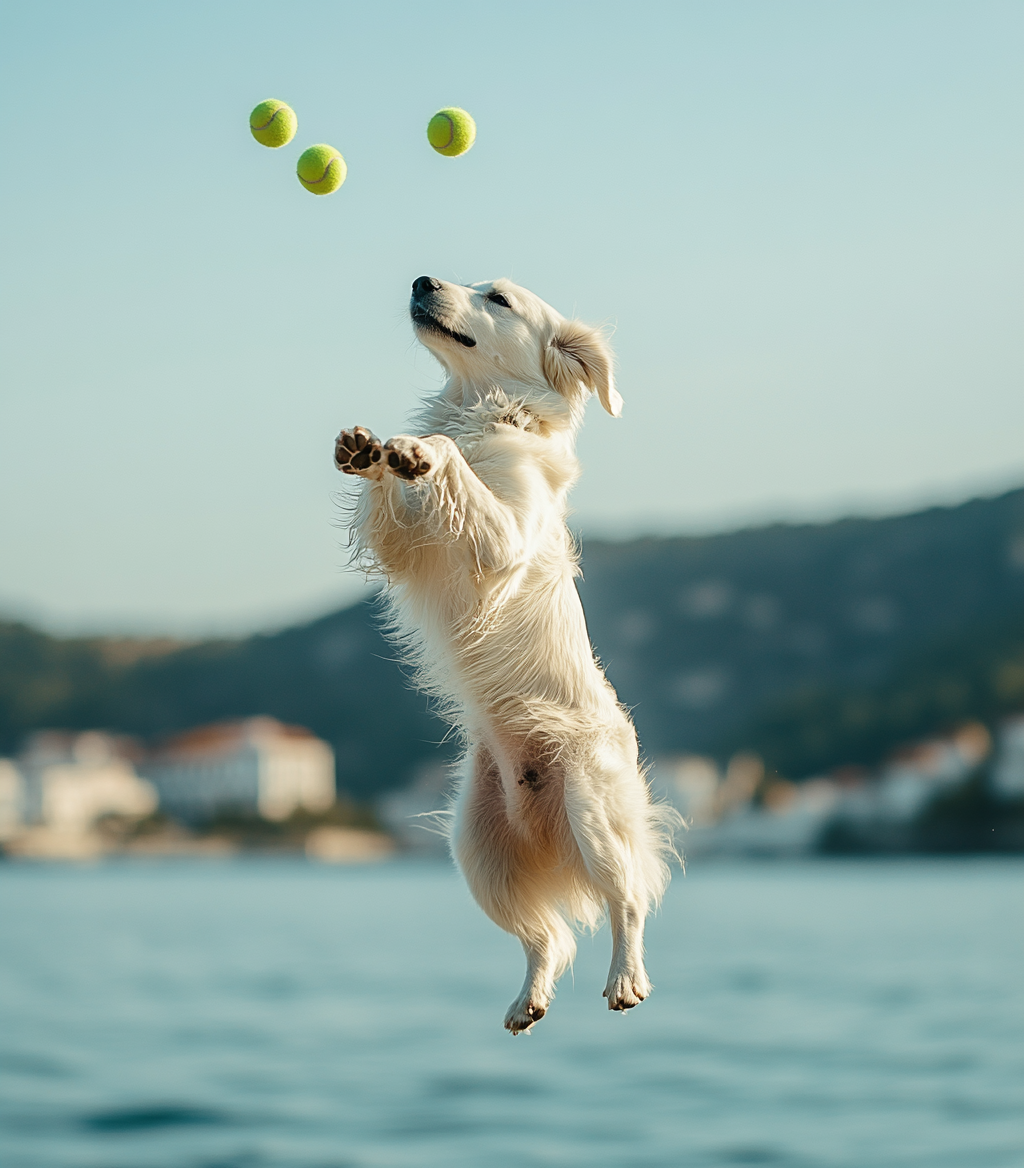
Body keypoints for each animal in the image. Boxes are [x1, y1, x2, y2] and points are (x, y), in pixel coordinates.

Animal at [333, 273, 677, 1032]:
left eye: (498, 298)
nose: (422, 280)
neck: (485, 412)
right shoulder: (404, 548)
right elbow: (389, 506)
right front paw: (369, 450)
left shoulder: (504, 539)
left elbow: (448, 461)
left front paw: (420, 450)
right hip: (475, 848)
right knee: (546, 937)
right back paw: (530, 999)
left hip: (594, 812)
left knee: (628, 902)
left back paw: (627, 979)